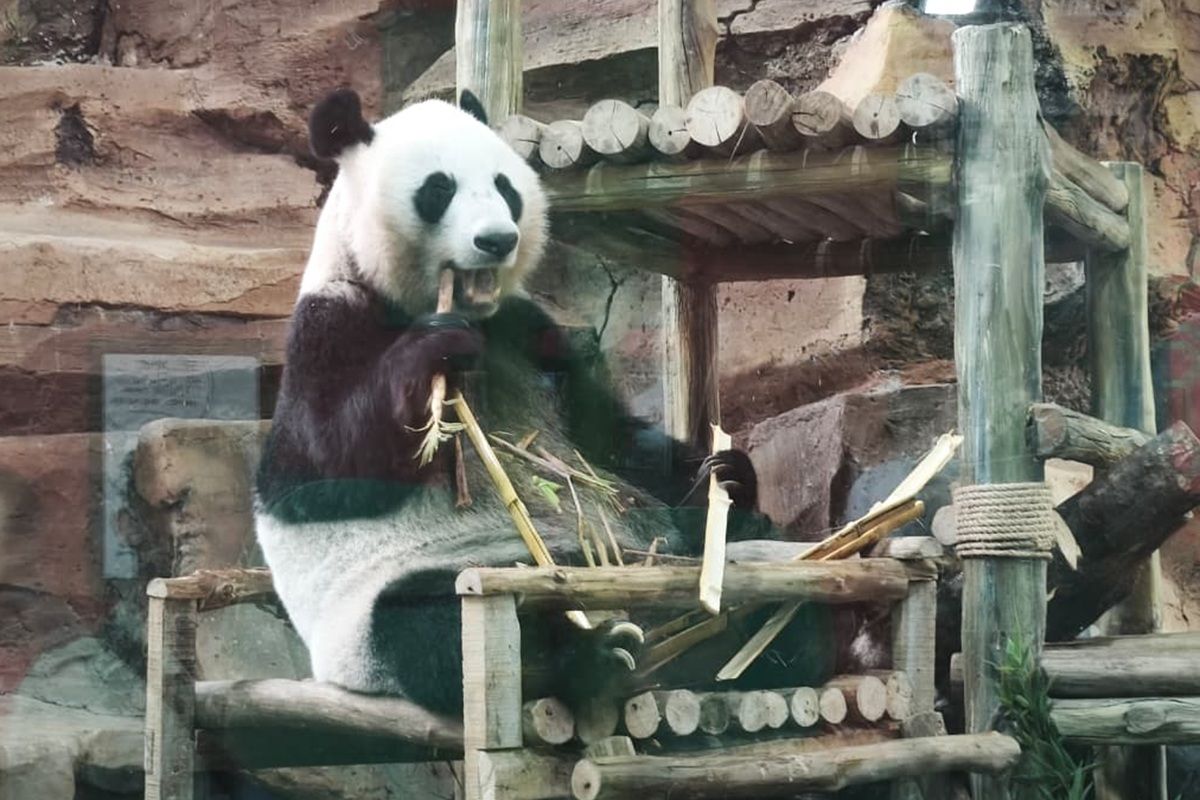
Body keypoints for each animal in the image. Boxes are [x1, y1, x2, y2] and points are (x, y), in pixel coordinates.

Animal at [254, 88, 812, 716]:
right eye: (438, 190)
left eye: (505, 187)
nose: (497, 240)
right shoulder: (332, 323)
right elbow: (312, 473)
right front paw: (432, 351)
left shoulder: (527, 331)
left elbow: (609, 438)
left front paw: (727, 475)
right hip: (398, 602)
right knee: (429, 623)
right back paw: (595, 658)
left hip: (668, 555)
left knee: (752, 557)